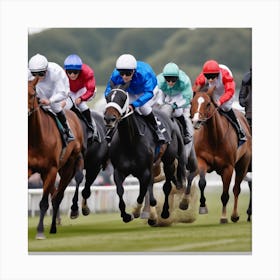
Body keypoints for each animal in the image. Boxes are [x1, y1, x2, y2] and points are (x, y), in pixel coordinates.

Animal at [27, 76, 85, 238]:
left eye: (32, 94)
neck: (36, 138)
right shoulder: (30, 168)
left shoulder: (51, 169)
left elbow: (43, 203)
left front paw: (40, 231)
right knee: (55, 195)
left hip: (68, 166)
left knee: (58, 197)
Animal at [103, 83, 188, 225]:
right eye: (107, 97)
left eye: (123, 98)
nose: (110, 119)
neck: (129, 142)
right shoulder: (118, 171)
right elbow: (120, 190)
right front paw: (126, 215)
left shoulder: (145, 171)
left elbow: (142, 191)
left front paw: (137, 211)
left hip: (169, 162)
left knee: (167, 186)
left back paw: (164, 213)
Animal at [180, 87, 253, 223]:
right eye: (192, 102)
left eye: (208, 104)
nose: (196, 121)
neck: (214, 139)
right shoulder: (202, 161)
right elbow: (201, 182)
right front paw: (202, 206)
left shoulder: (228, 168)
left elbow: (225, 194)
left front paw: (224, 216)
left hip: (243, 165)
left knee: (236, 189)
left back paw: (235, 215)